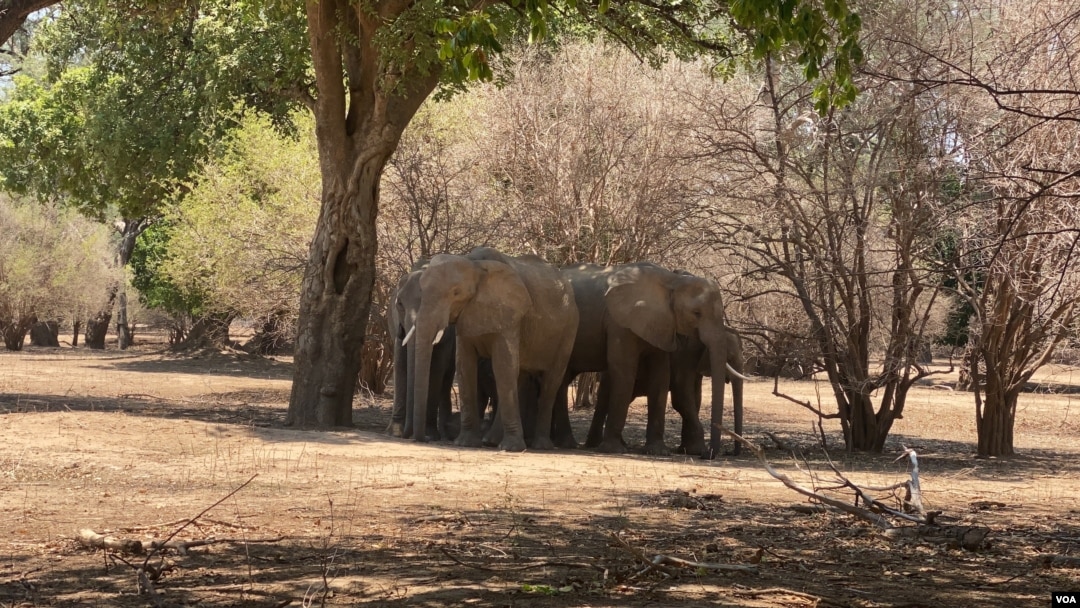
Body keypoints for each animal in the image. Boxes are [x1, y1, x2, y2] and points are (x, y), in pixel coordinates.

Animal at [406, 247, 578, 451]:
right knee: (518, 376)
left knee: (551, 381)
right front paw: (465, 443)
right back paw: (491, 441)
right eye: (422, 290)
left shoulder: (510, 314)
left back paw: (540, 446)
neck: (474, 264)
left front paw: (512, 449)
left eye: (456, 293)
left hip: (568, 330)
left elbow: (502, 366)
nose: (425, 439)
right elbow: (465, 366)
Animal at [557, 264, 743, 453]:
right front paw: (615, 450)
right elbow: (630, 373)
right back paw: (583, 445)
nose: (716, 454)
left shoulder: (664, 327)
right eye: (696, 313)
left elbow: (663, 378)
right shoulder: (620, 323)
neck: (671, 281)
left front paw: (660, 451)